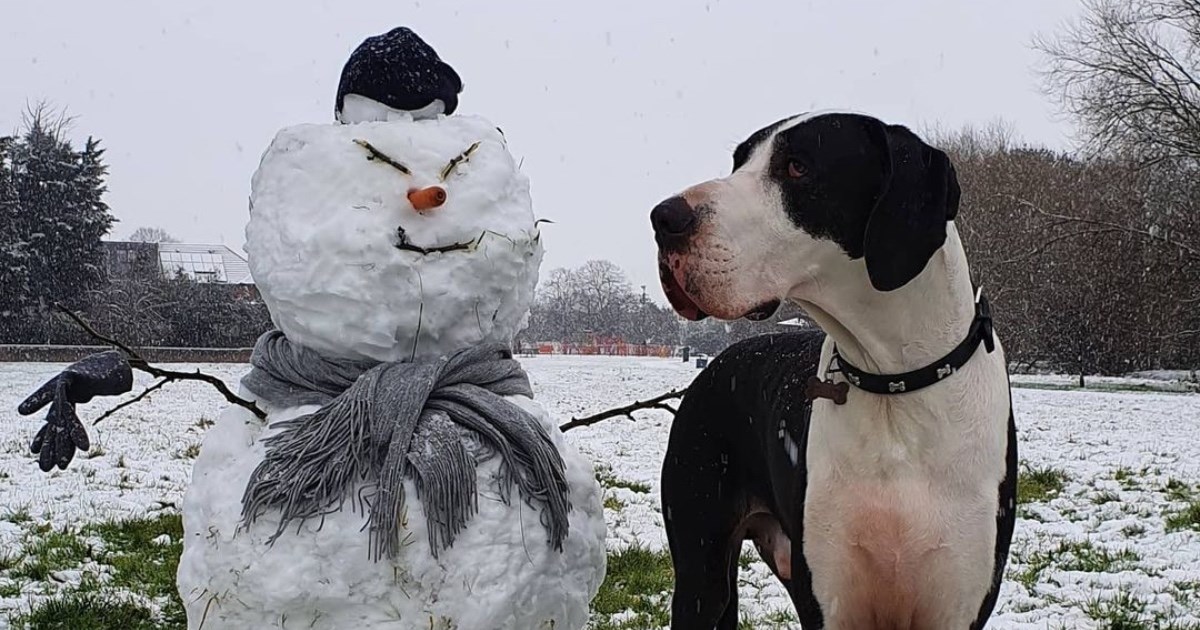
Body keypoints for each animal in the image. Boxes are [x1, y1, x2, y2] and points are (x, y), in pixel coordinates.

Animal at [652, 112, 1017, 628]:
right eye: (739, 162)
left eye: (798, 167)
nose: (663, 218)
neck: (893, 384)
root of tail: (716, 364)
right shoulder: (829, 599)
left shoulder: (957, 605)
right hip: (702, 571)